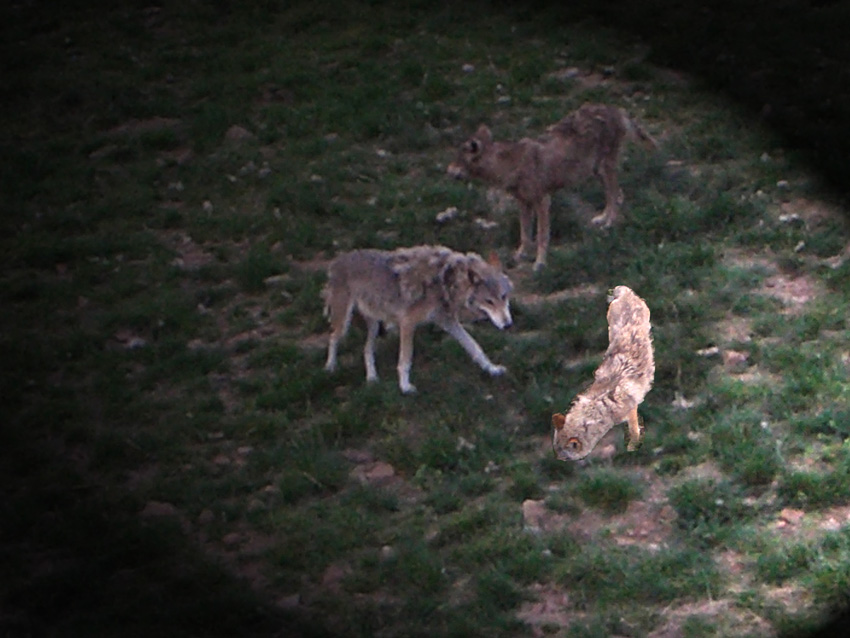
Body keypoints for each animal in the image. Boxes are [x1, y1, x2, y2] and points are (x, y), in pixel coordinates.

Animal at [322, 245, 510, 396]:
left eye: (504, 296)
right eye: (489, 301)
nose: (508, 325)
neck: (447, 282)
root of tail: (336, 261)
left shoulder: (448, 321)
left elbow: (475, 347)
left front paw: (492, 369)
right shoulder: (407, 323)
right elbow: (405, 360)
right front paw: (405, 387)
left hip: (375, 325)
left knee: (366, 349)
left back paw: (372, 378)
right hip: (344, 323)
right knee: (332, 337)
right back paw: (330, 367)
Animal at [444, 102, 656, 270]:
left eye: (458, 159)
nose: (447, 170)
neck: (509, 165)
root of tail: (615, 109)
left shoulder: (542, 201)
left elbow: (541, 236)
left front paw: (540, 263)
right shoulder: (523, 203)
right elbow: (525, 234)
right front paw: (520, 255)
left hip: (604, 168)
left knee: (615, 195)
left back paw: (609, 223)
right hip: (596, 170)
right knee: (616, 195)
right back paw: (602, 218)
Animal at [548, 288, 656, 462]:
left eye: (564, 457)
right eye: (555, 450)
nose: (556, 459)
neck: (602, 405)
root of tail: (624, 292)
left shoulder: (631, 410)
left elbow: (634, 430)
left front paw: (633, 446)